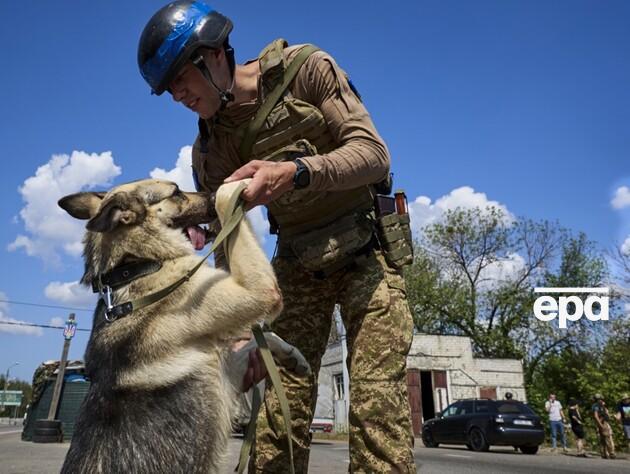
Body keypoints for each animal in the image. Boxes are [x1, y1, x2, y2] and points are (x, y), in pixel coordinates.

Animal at [58, 179, 310, 474]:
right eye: (176, 191)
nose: (211, 191)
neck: (134, 266)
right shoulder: (256, 292)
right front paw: (235, 187)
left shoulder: (223, 369)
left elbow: (261, 338)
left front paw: (294, 356)